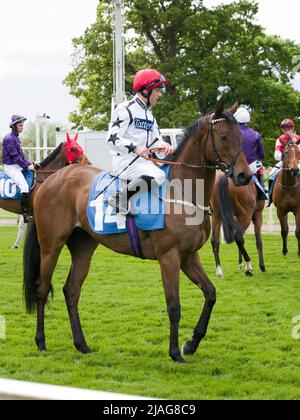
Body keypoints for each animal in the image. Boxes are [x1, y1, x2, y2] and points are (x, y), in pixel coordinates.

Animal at [24, 103, 253, 362]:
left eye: (240, 137)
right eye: (223, 137)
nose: (244, 175)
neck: (182, 190)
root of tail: (51, 179)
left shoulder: (188, 256)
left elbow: (211, 294)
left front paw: (191, 344)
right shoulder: (169, 257)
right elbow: (174, 306)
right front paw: (175, 352)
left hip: (83, 247)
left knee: (71, 291)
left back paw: (82, 344)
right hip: (50, 245)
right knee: (42, 289)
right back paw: (41, 342)